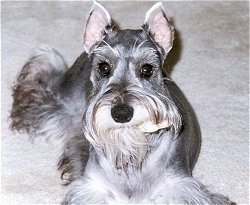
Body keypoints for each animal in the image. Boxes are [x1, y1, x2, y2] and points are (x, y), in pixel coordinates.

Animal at [10, 2, 236, 205]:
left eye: (147, 69)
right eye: (103, 67)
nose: (121, 113)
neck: (131, 155)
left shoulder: (182, 189)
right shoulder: (91, 190)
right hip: (65, 104)